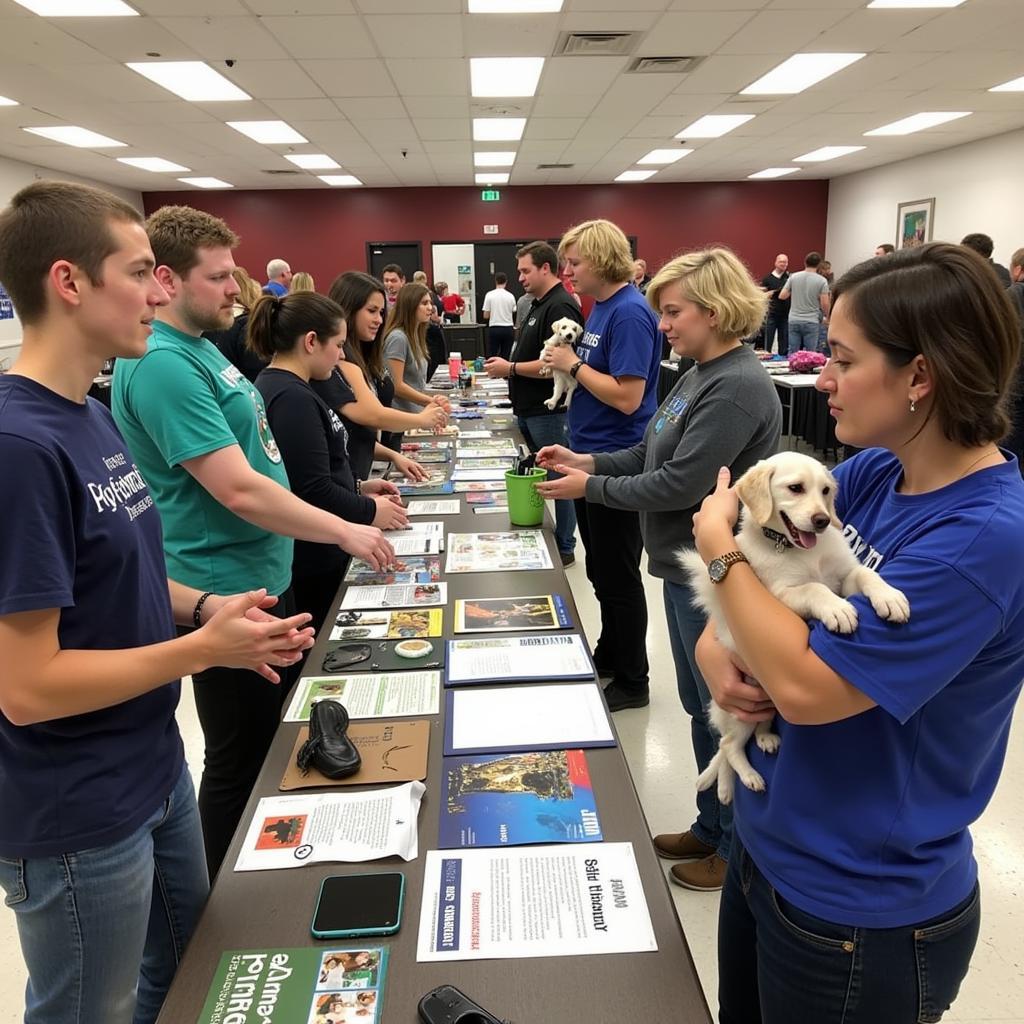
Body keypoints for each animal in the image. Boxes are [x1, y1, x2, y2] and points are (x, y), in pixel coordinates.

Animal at [679, 452, 913, 802]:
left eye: (826, 491)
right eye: (795, 488)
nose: (822, 520)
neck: (799, 551)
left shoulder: (844, 578)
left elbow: (865, 574)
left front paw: (889, 597)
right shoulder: (781, 595)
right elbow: (814, 589)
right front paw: (838, 610)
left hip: (766, 705)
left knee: (743, 736)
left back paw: (765, 740)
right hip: (741, 712)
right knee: (728, 746)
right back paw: (742, 780)